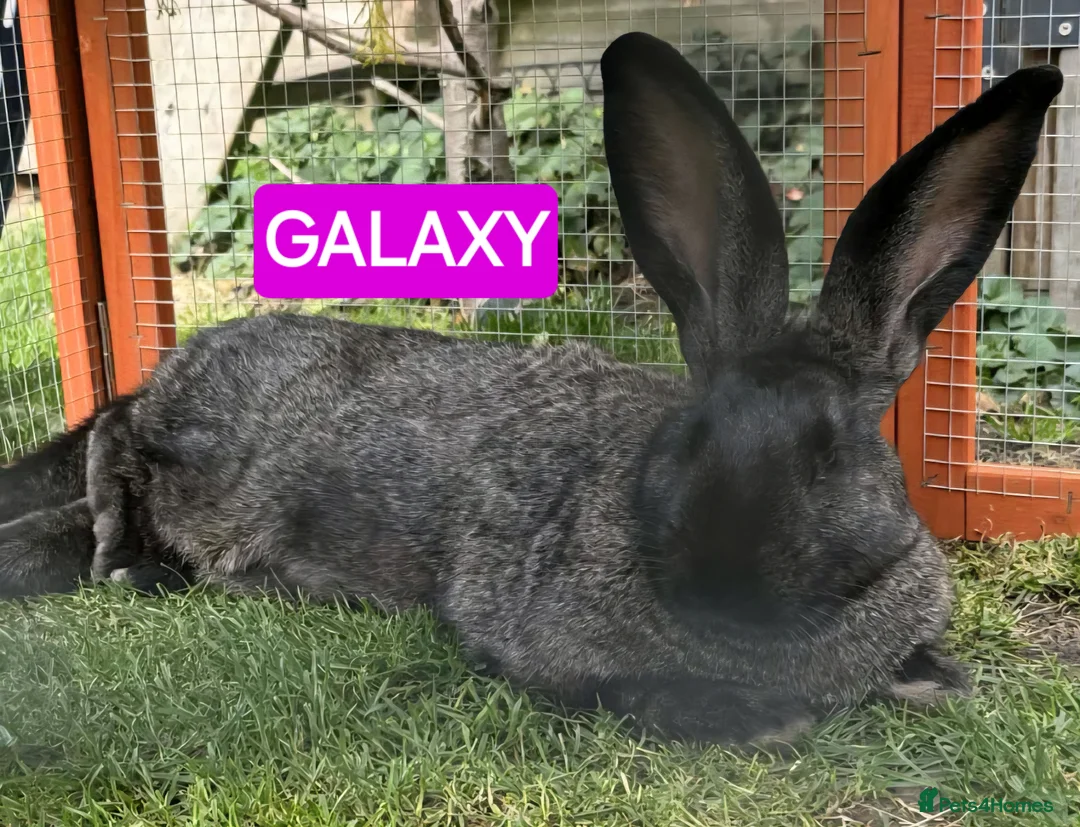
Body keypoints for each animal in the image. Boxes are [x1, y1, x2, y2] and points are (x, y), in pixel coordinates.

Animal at [0, 31, 1062, 747]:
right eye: (690, 436)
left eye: (830, 453)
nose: (721, 579)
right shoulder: (530, 635)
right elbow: (632, 690)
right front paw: (761, 719)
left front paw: (933, 677)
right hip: (212, 446)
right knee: (116, 434)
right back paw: (119, 550)